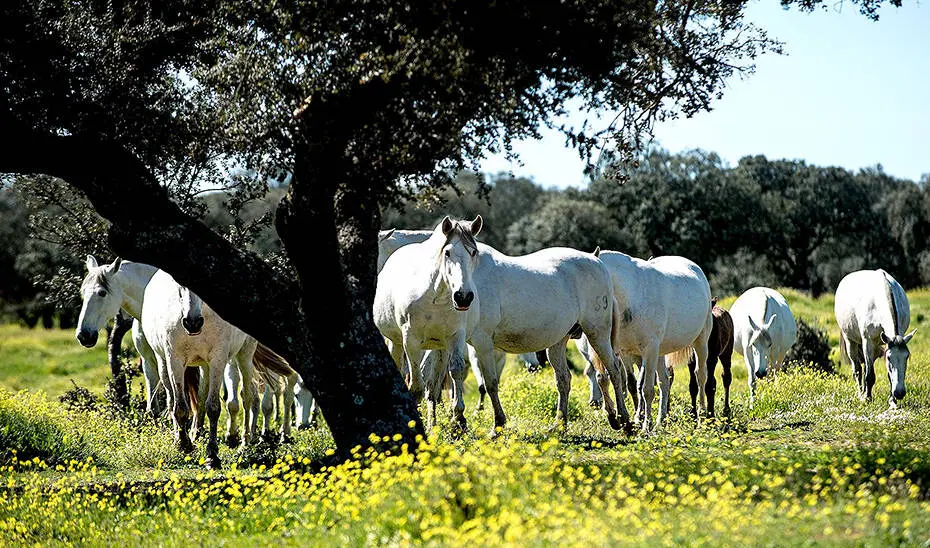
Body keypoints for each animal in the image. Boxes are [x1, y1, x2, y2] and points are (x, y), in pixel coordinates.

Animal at [374, 216, 483, 429]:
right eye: (447, 252)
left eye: (473, 252)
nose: (463, 297)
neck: (437, 297)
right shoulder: (411, 342)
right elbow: (415, 385)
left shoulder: (456, 336)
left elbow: (455, 371)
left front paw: (458, 418)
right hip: (396, 342)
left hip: (439, 348)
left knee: (433, 389)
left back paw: (434, 426)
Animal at [835, 269, 915, 407]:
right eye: (889, 358)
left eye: (907, 356)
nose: (899, 393)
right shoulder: (868, 342)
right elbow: (869, 375)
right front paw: (867, 399)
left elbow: (888, 375)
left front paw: (892, 401)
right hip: (851, 341)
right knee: (857, 370)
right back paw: (861, 394)